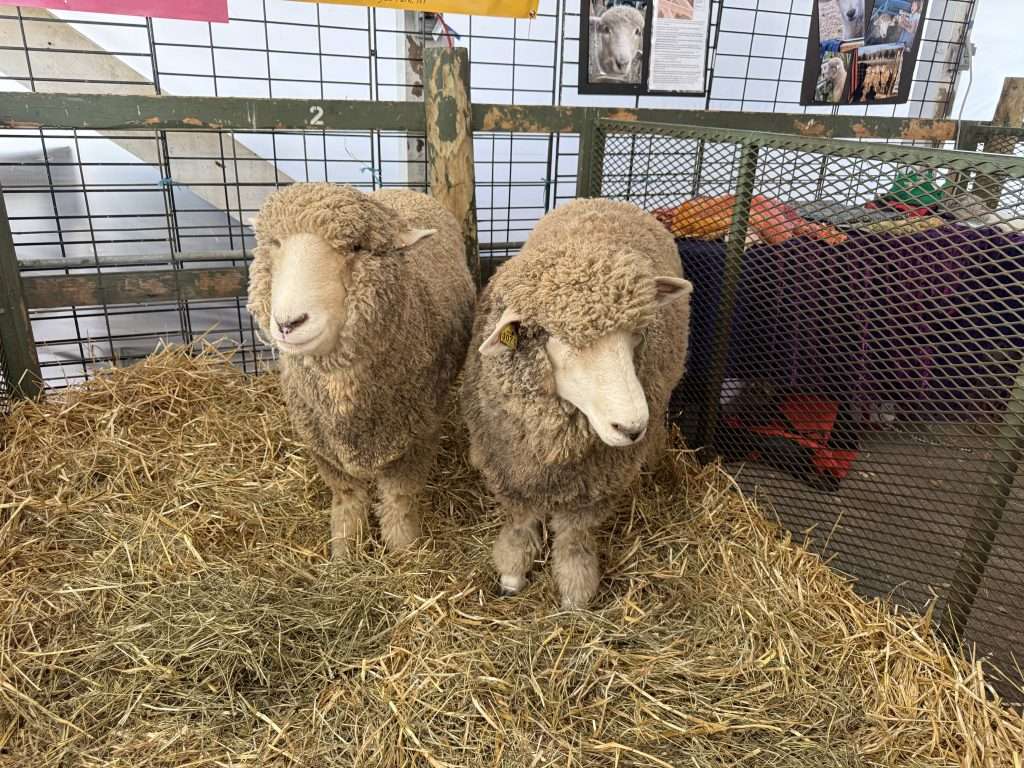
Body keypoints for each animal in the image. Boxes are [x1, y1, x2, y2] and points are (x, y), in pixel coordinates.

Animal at [247, 184, 475, 556]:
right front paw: (344, 550)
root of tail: (402, 189)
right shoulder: (321, 444)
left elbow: (398, 498)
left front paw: (404, 551)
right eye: (275, 244)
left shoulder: (417, 435)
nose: (288, 323)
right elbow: (348, 497)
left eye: (356, 247)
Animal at [460, 199, 693, 609]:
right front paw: (512, 575)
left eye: (637, 335)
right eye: (561, 340)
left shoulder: (593, 488)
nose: (631, 428)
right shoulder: (511, 469)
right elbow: (520, 524)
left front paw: (574, 597)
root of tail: (604, 201)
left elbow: (573, 540)